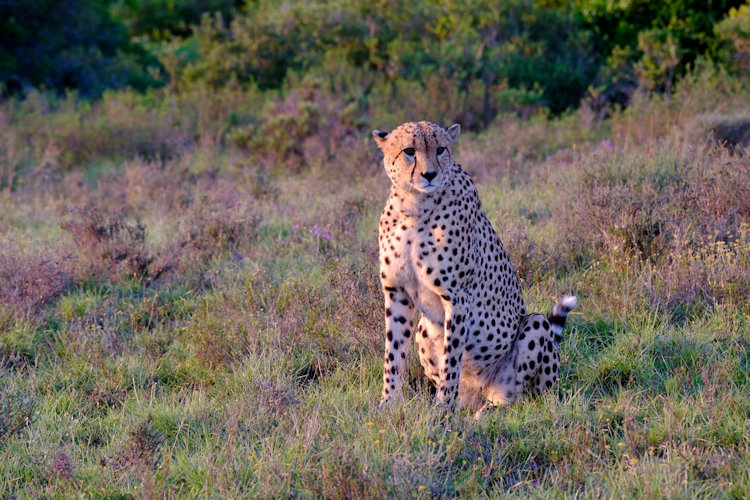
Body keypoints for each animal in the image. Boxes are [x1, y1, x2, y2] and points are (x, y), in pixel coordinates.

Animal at [372, 120, 576, 417]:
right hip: (424, 329)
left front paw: (442, 413)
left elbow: (451, 361)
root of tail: (477, 397)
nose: (430, 174)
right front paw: (387, 406)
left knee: (525, 401)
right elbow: (393, 354)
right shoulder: (396, 292)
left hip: (536, 331)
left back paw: (490, 412)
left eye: (440, 149)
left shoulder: (458, 298)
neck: (414, 205)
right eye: (409, 151)